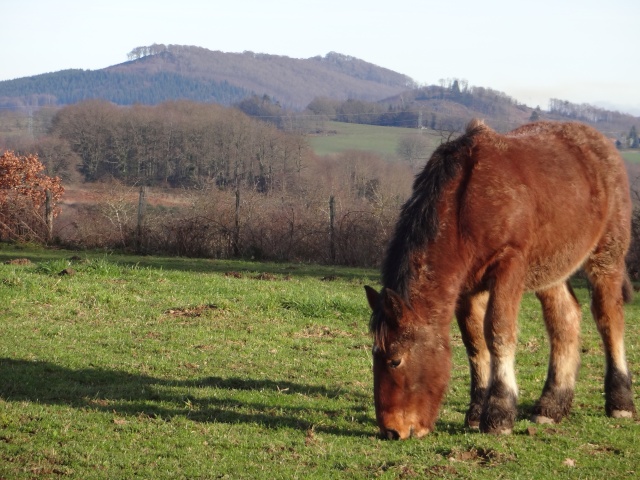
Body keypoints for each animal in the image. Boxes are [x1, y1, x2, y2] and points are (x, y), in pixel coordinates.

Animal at [364, 120, 636, 438]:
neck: (464, 204)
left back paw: (620, 401)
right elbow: (475, 343)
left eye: (395, 360)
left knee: (609, 319)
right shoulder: (467, 287)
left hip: (607, 258)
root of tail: (601, 143)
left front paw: (499, 413)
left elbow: (498, 332)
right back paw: (551, 406)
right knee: (564, 321)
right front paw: (476, 411)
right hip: (551, 272)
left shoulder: (509, 266)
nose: (391, 431)